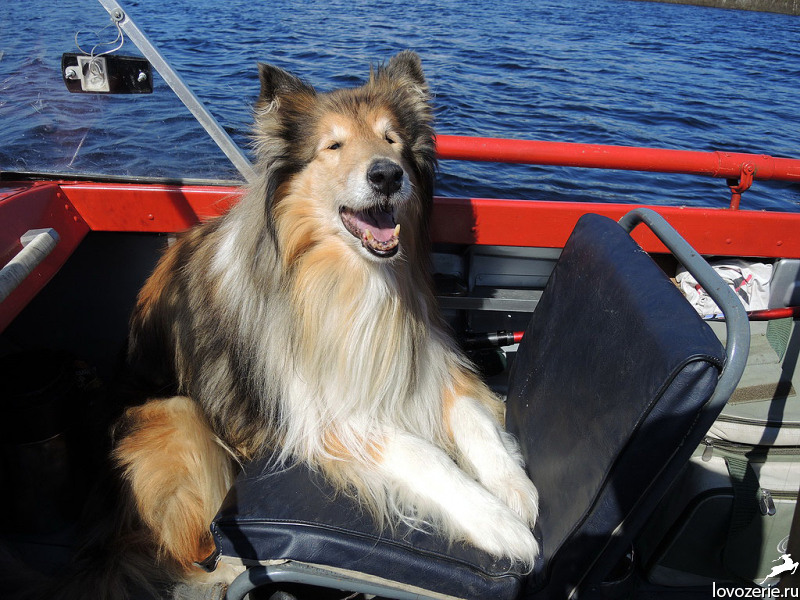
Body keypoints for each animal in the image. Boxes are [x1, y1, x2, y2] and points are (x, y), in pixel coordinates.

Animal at [112, 50, 539, 594]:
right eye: (333, 146)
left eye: (391, 139)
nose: (387, 175)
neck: (351, 278)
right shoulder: (324, 415)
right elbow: (421, 453)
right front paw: (496, 521)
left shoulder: (429, 359)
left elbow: (473, 418)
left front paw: (514, 489)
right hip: (178, 418)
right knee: (193, 550)